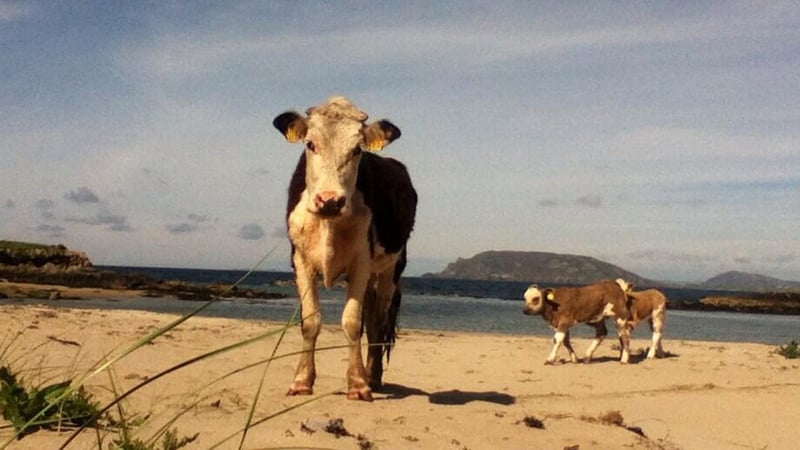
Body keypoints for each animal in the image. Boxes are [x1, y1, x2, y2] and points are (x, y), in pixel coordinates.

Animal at [272, 96, 417, 401]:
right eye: (310, 144)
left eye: (357, 149)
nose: (330, 200)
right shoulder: (300, 260)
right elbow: (310, 321)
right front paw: (301, 381)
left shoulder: (361, 261)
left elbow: (352, 322)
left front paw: (359, 384)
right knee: (372, 319)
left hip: (390, 270)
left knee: (378, 322)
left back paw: (373, 377)